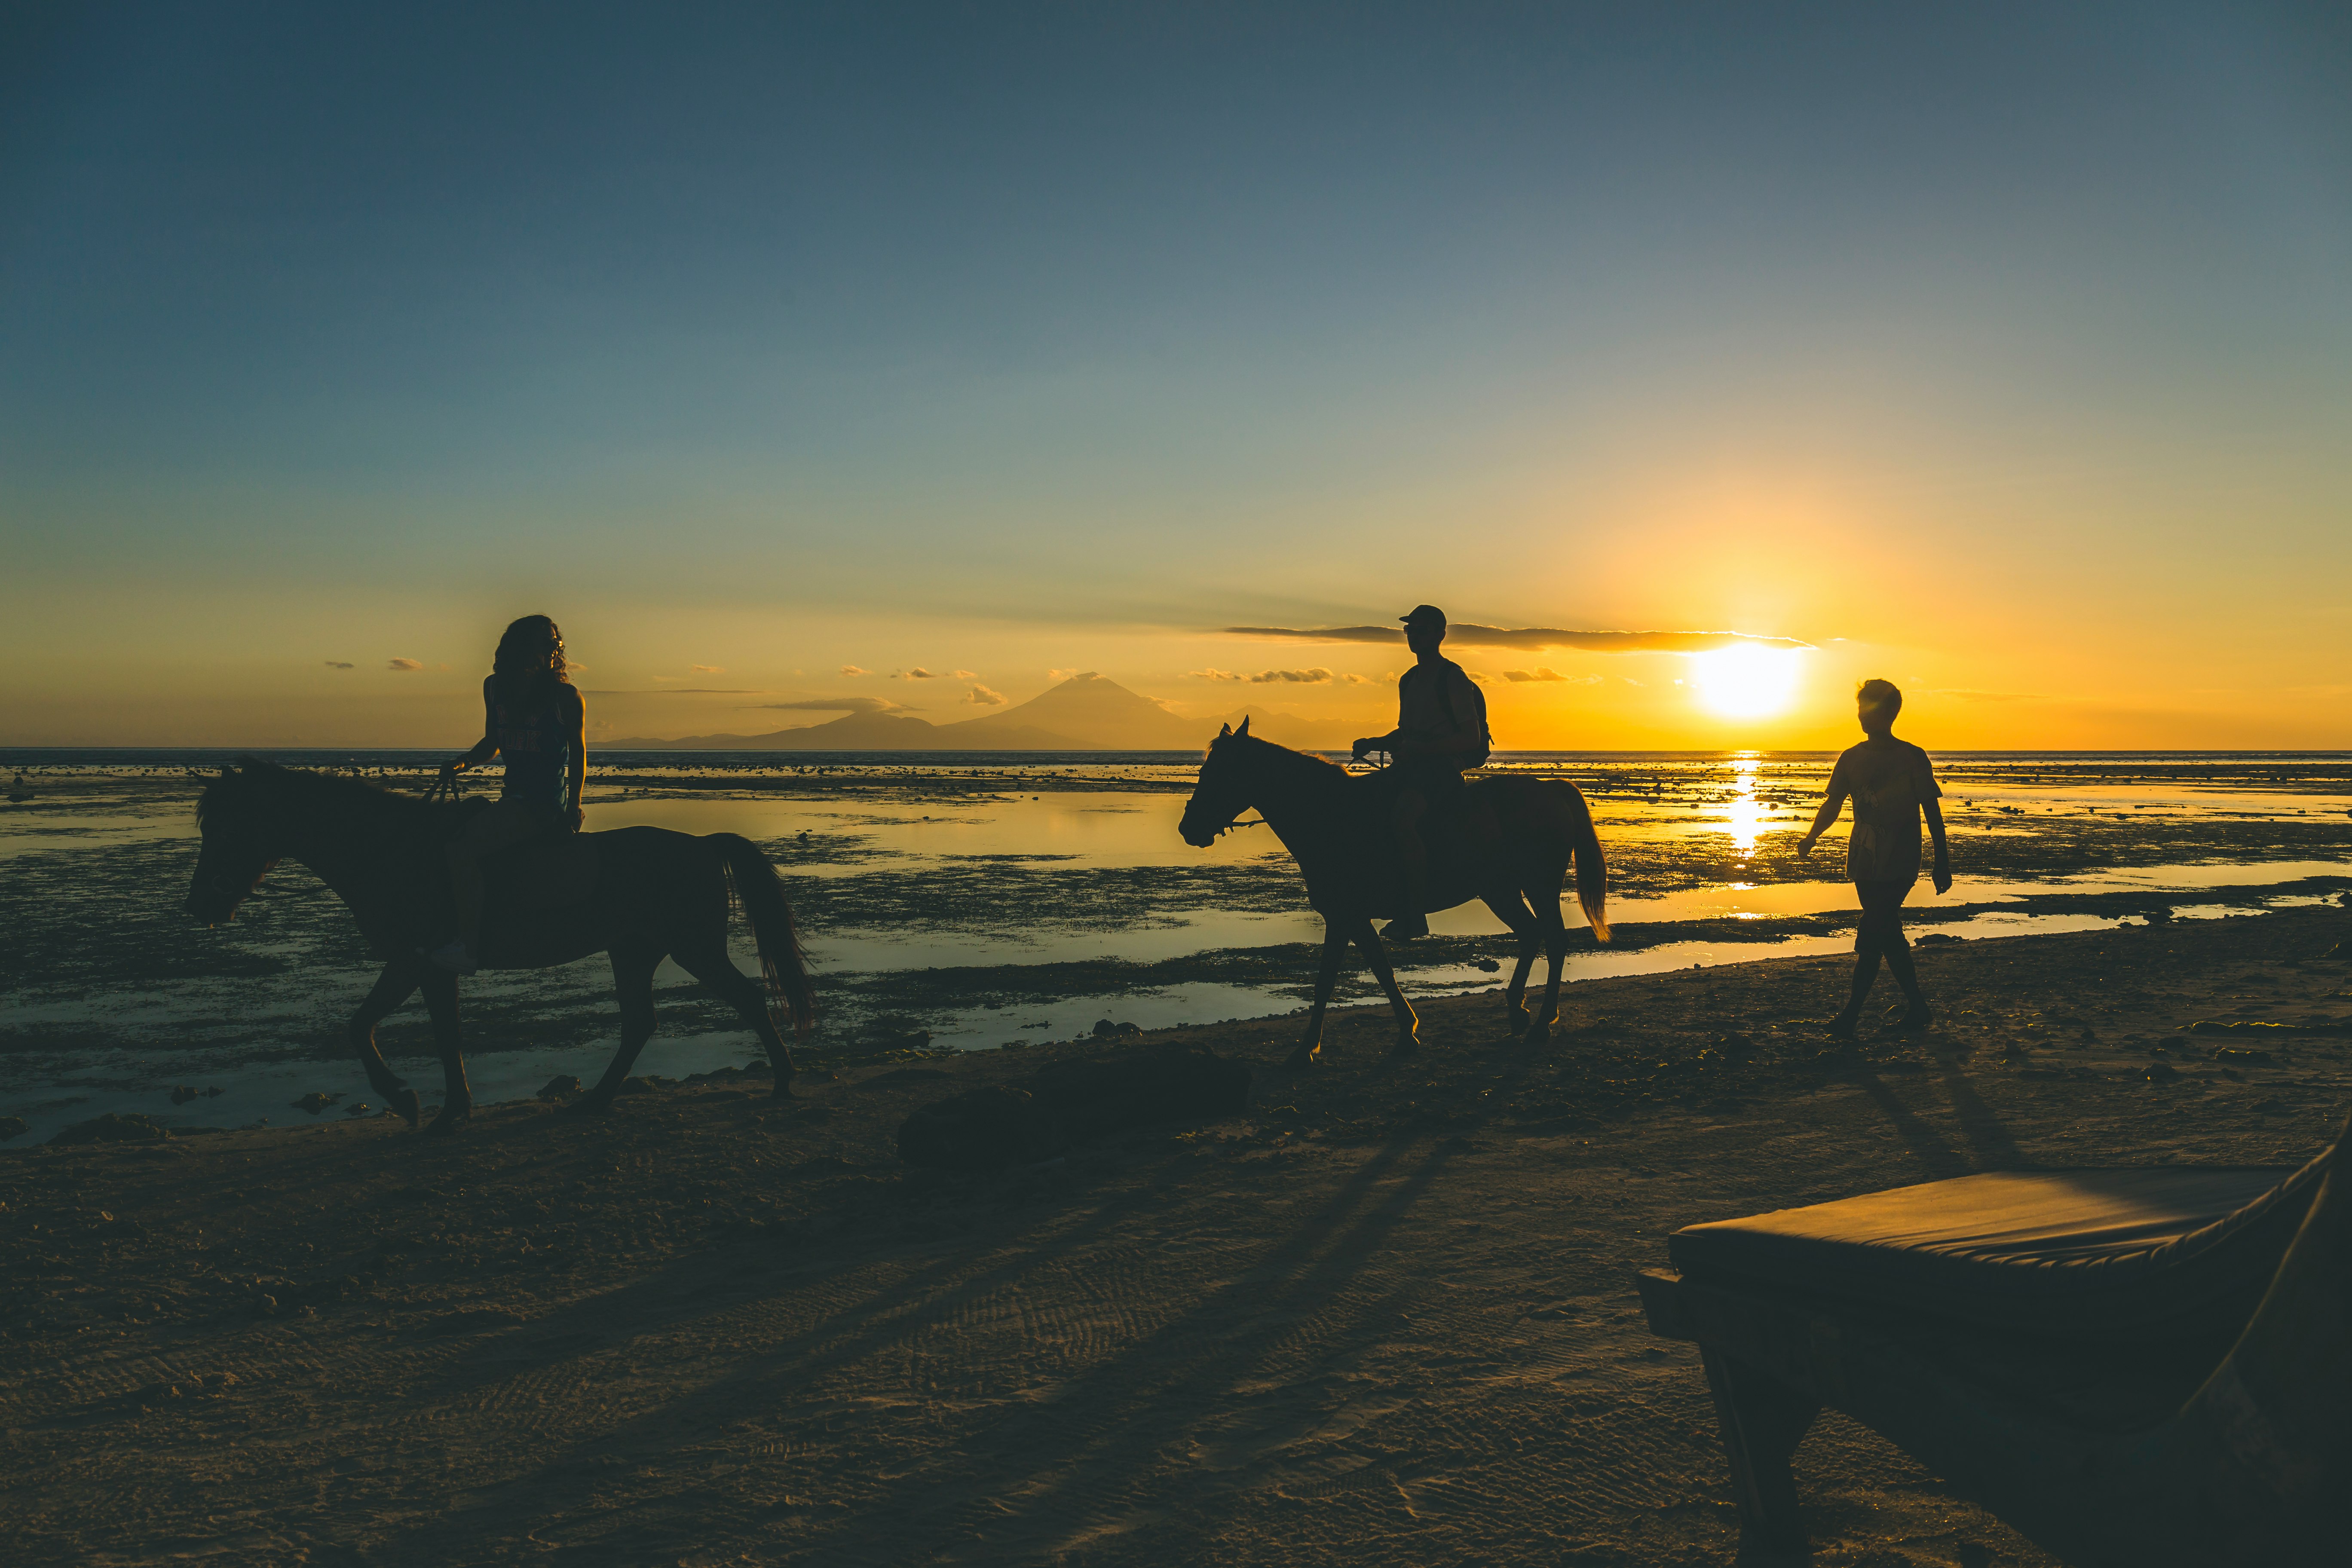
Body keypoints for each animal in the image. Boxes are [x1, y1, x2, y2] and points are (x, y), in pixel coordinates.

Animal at [183, 757, 814, 1133]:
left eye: (222, 828)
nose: (199, 906)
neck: (388, 850)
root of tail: (704, 844)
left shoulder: (422, 962)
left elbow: (422, 1034)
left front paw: (429, 1106)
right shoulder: (412, 962)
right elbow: (368, 1027)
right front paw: (419, 1103)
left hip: (692, 948)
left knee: (746, 999)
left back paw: (784, 1080)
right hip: (633, 951)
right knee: (640, 1022)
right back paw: (595, 1100)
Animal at [1171, 724, 1608, 1067]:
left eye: (1219, 772)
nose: (1188, 829)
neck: (1330, 816)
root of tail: (1551, 790)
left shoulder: (1343, 916)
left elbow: (1327, 981)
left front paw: (1306, 1049)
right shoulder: (1352, 918)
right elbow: (1380, 970)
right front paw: (1406, 1033)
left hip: (1538, 886)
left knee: (1555, 940)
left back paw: (1542, 1024)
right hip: (1499, 891)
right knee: (1532, 934)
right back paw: (1518, 1011)